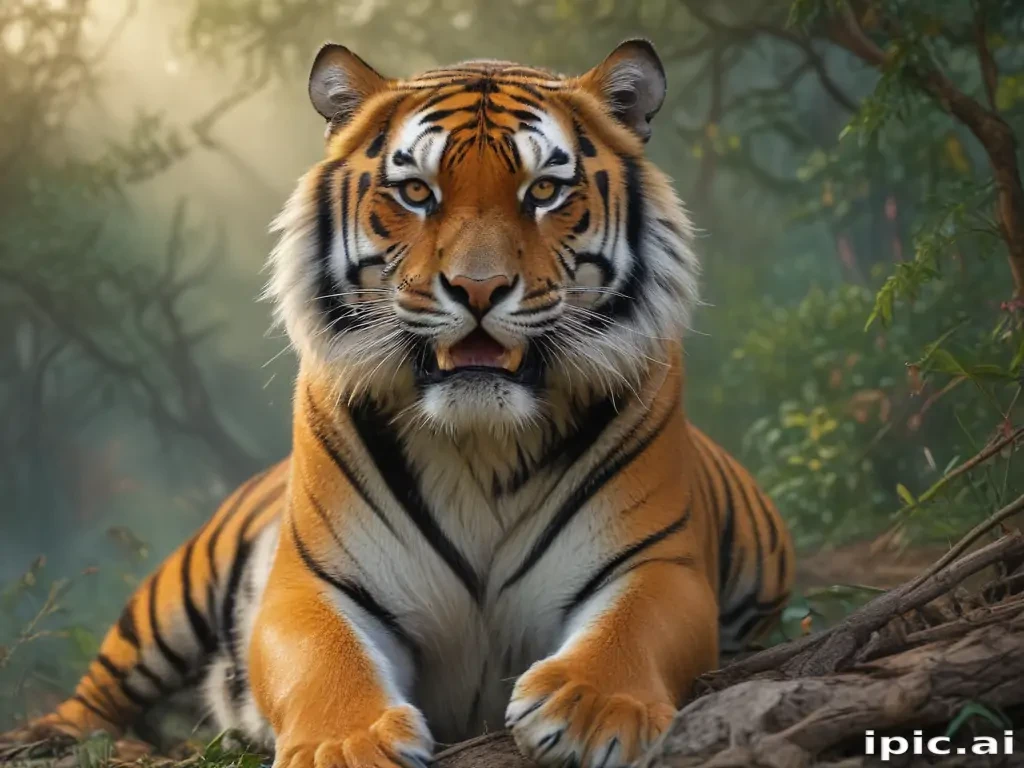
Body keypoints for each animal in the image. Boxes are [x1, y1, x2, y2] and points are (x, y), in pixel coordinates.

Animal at [4, 40, 794, 768]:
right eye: (417, 193)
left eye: (543, 191)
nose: (478, 288)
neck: (482, 439)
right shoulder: (311, 583)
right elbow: (323, 656)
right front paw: (346, 745)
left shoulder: (660, 563)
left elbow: (633, 627)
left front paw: (592, 708)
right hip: (172, 597)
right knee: (98, 693)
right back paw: (54, 738)